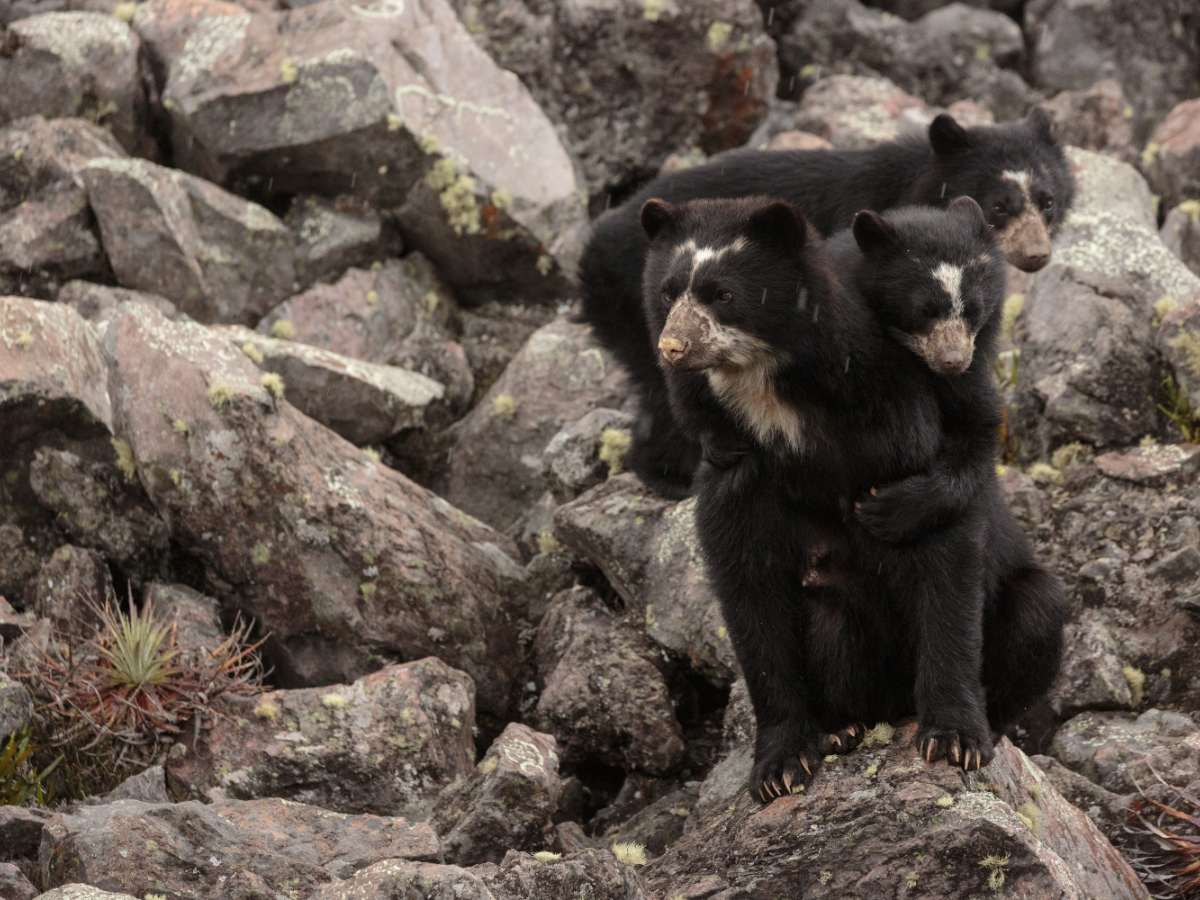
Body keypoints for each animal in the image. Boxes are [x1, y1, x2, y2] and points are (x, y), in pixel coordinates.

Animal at [579, 108, 1075, 500]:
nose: (1037, 255)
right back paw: (671, 476)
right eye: (1000, 206)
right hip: (639, 313)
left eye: (1047, 201)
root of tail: (589, 248)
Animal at [639, 195, 1065, 800]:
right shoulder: (739, 470)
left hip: (1023, 598)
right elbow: (748, 586)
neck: (781, 412)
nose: (673, 347)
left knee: (1037, 610)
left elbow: (945, 555)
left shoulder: (898, 433)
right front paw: (780, 768)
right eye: (668, 292)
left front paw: (955, 740)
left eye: (723, 294)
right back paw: (841, 727)